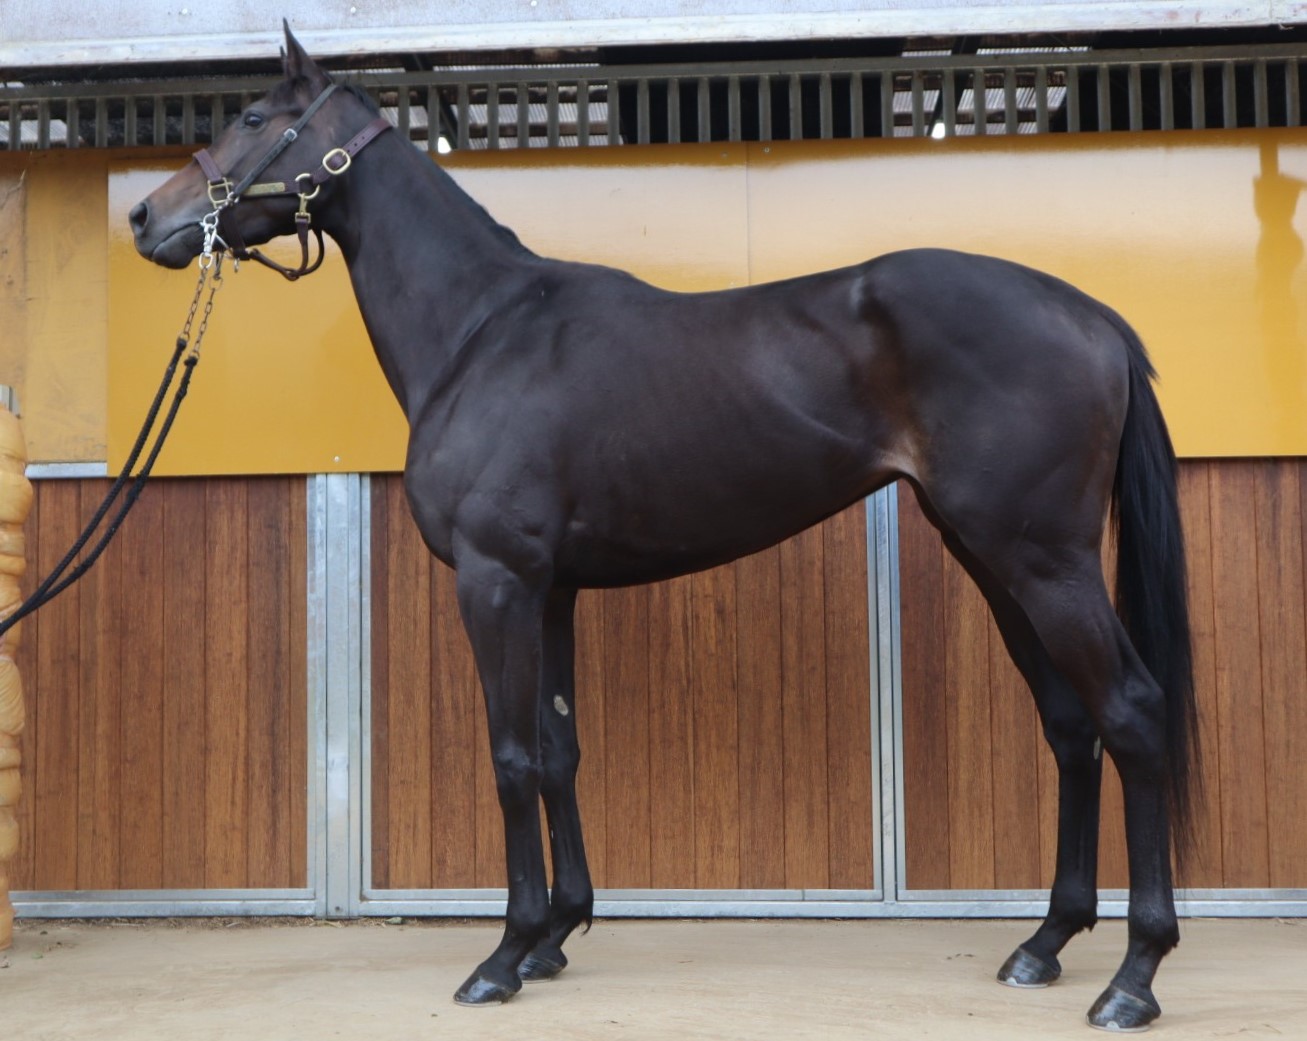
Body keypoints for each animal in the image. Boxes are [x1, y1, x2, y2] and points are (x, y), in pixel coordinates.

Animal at [129, 26, 1197, 1032]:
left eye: (254, 118)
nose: (146, 217)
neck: (483, 333)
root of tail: (1091, 315)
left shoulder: (495, 580)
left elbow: (510, 757)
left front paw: (501, 955)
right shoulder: (550, 588)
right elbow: (557, 750)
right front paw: (555, 936)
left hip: (1044, 562)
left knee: (1132, 714)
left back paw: (1132, 978)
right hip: (993, 559)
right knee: (1069, 726)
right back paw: (1045, 941)